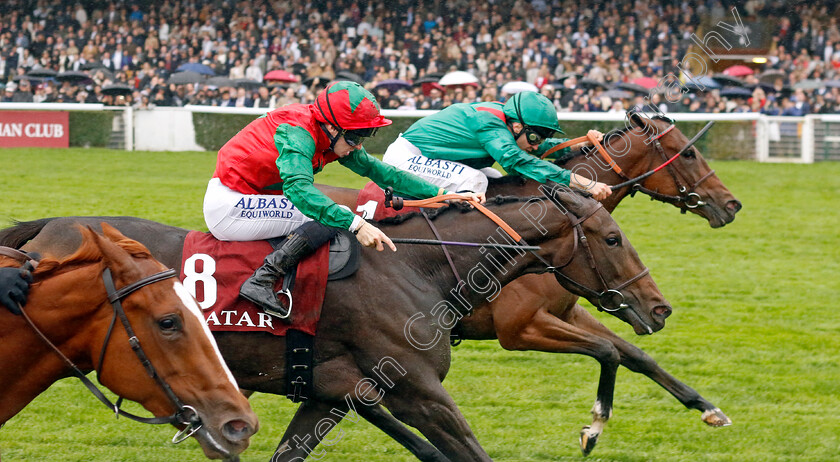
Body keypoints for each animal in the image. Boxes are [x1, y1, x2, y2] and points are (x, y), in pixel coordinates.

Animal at [316, 113, 740, 454]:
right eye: (689, 153)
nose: (732, 205)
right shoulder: (520, 327)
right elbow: (607, 351)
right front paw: (593, 429)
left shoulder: (568, 310)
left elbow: (634, 356)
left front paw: (709, 409)